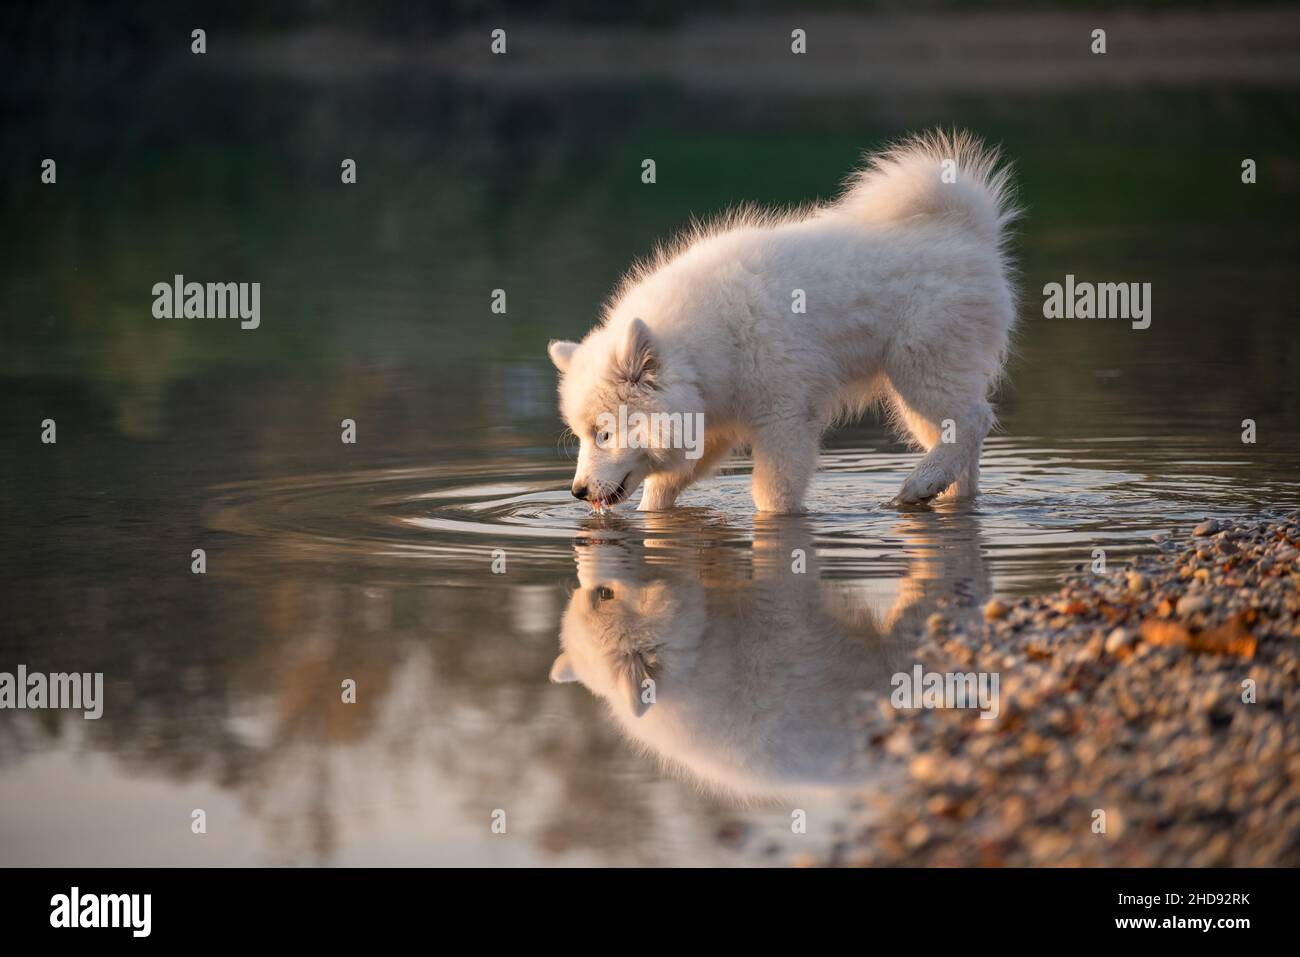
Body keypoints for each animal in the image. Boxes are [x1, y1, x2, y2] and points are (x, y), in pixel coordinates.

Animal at [548, 132, 1013, 514]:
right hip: (917, 387)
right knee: (961, 444)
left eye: (604, 435)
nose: (577, 492)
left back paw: (921, 482)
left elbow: (773, 494)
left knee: (974, 419)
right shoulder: (715, 422)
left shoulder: (784, 415)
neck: (708, 345)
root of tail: (965, 230)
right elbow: (664, 485)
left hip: (922, 369)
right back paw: (944, 492)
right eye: (583, 436)